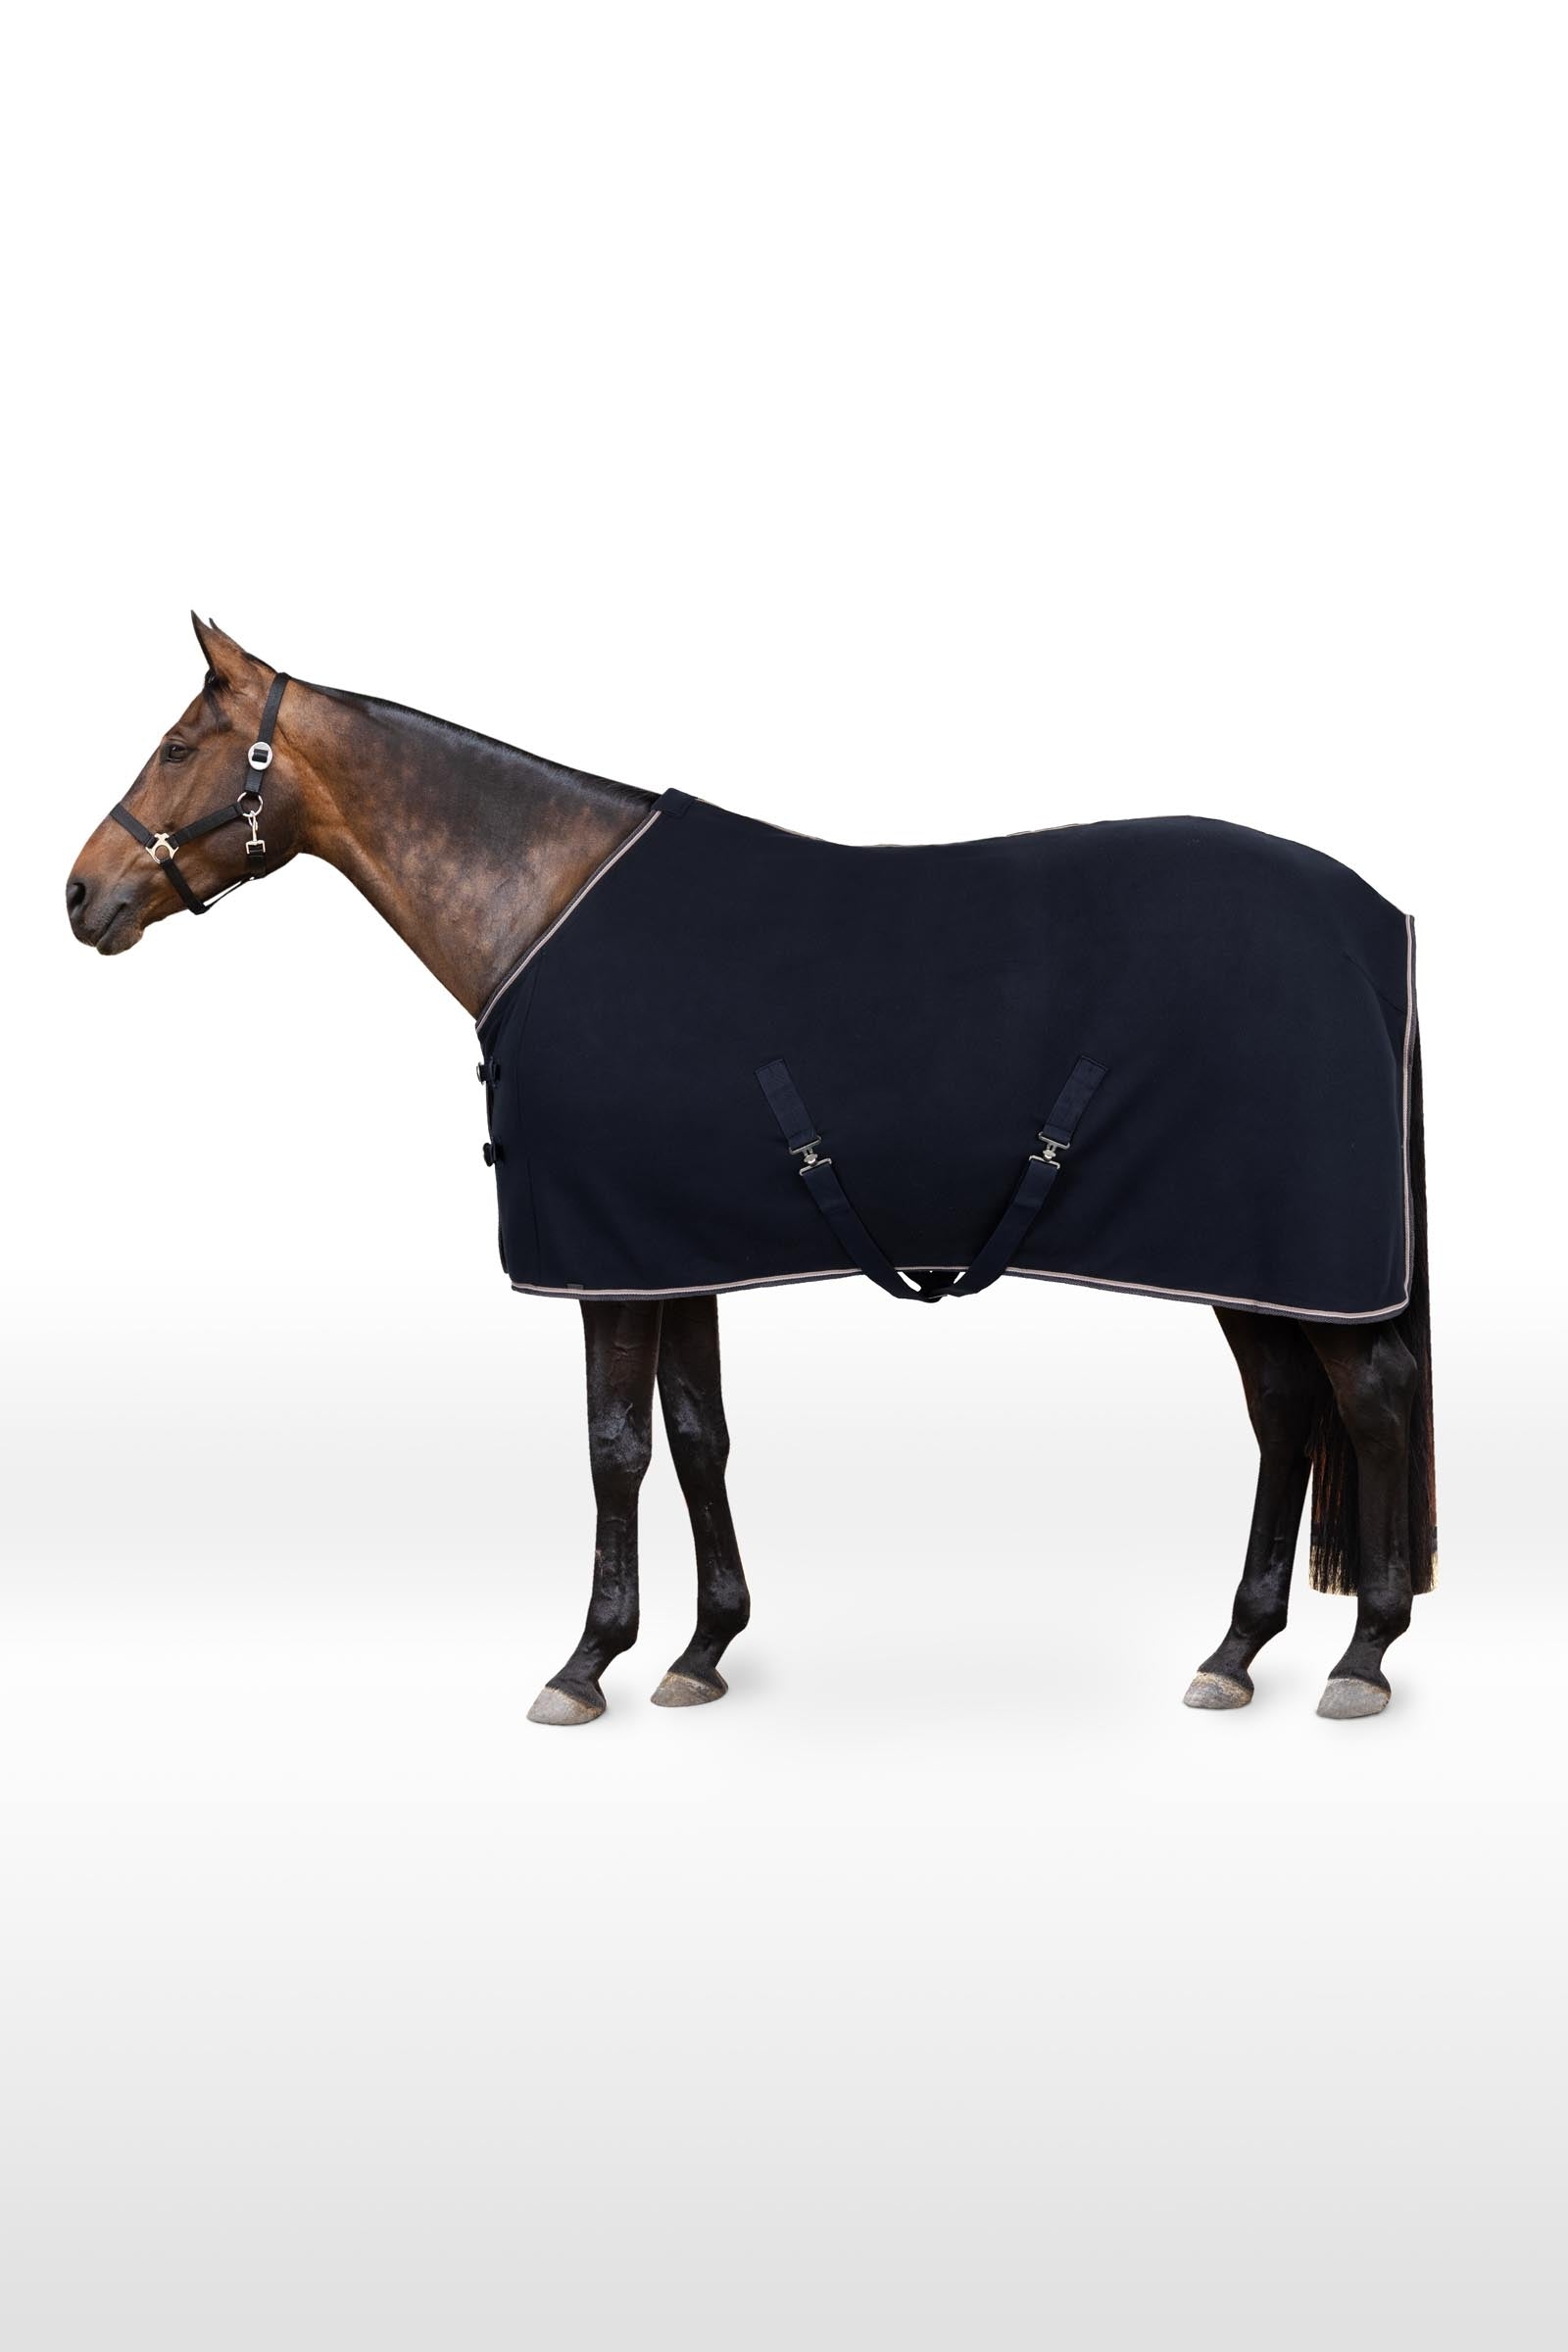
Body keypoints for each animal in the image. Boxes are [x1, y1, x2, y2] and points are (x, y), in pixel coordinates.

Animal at [65, 617, 1436, 1725]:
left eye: (180, 747)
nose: (80, 895)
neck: (543, 899)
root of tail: (1375, 921)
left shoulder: (605, 1265)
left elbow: (615, 1445)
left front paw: (587, 1664)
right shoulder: (670, 1249)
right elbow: (697, 1434)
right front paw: (702, 1650)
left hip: (1296, 1261)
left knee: (1368, 1405)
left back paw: (1362, 1656)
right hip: (1241, 1263)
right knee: (1285, 1414)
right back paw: (1236, 1651)